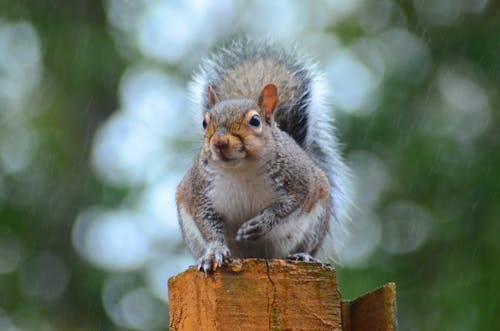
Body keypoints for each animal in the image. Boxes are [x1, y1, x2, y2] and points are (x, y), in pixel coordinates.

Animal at [176, 39, 352, 274]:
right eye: (205, 123)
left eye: (255, 121)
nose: (220, 142)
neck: (241, 168)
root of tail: (257, 257)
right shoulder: (198, 191)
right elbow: (207, 224)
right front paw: (214, 252)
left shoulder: (300, 181)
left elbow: (287, 207)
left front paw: (260, 224)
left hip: (317, 219)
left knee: (307, 245)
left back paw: (303, 255)